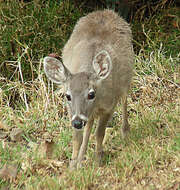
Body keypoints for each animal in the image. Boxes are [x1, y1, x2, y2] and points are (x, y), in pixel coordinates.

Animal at [43, 9, 134, 168]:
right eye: (67, 96)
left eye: (91, 94)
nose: (77, 122)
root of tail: (106, 11)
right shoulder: (72, 111)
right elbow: (77, 137)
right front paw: (73, 164)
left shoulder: (109, 106)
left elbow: (99, 133)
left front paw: (98, 160)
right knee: (89, 125)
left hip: (126, 79)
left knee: (124, 100)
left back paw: (125, 132)